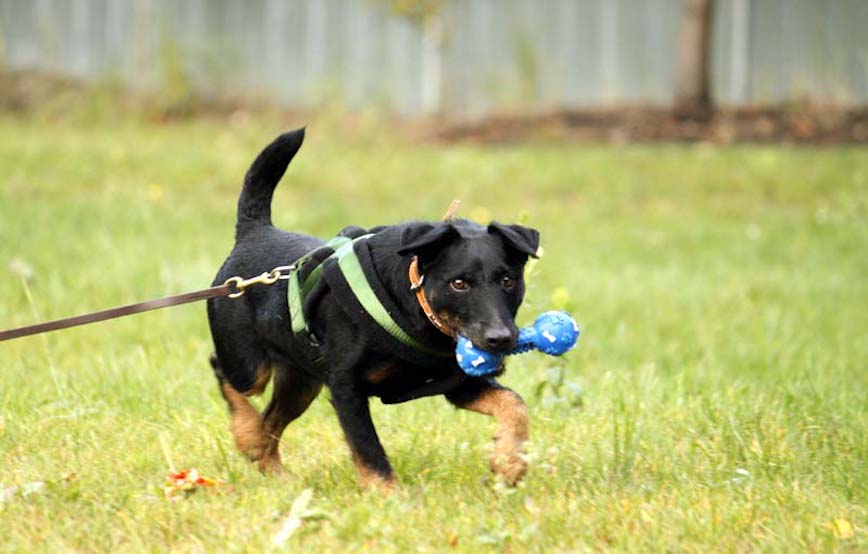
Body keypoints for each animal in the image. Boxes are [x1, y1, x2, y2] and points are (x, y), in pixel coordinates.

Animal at [207, 127, 540, 486]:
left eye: (508, 280)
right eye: (459, 283)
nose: (500, 338)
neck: (415, 310)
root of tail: (254, 232)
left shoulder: (457, 384)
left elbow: (514, 403)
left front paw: (510, 460)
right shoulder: (346, 386)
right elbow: (368, 448)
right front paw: (389, 495)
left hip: (301, 380)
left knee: (270, 420)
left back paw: (274, 470)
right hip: (248, 363)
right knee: (225, 373)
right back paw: (247, 434)